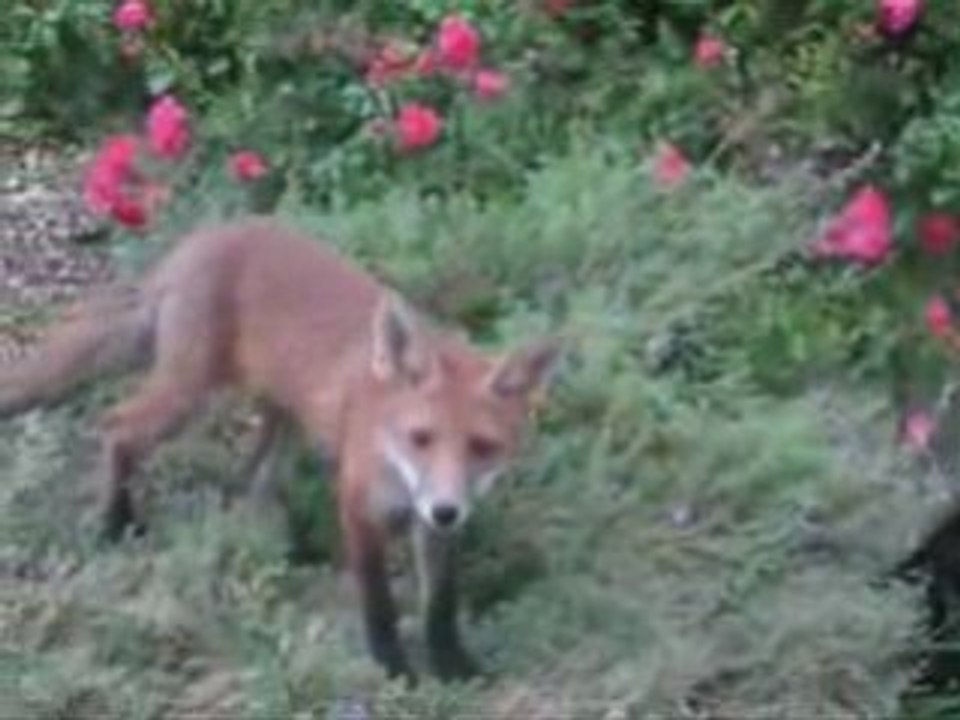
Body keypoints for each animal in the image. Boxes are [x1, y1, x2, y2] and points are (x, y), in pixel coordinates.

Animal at [0, 216, 560, 683]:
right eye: (420, 438)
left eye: (483, 446)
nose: (446, 509)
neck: (394, 465)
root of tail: (202, 238)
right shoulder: (359, 508)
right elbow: (378, 601)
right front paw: (393, 667)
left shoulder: (434, 530)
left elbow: (441, 605)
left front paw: (452, 665)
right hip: (190, 396)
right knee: (117, 427)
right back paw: (115, 522)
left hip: (282, 416)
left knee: (251, 476)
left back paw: (276, 548)